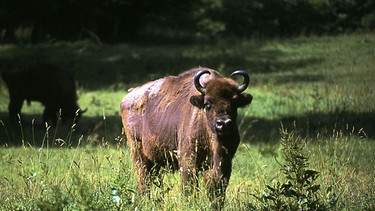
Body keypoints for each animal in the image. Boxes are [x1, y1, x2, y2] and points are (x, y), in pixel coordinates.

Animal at [122, 67, 254, 209]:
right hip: (138, 153)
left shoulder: (223, 162)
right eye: (207, 104)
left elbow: (216, 186)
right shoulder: (188, 158)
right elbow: (189, 186)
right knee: (144, 179)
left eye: (235, 103)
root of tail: (129, 96)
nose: (223, 123)